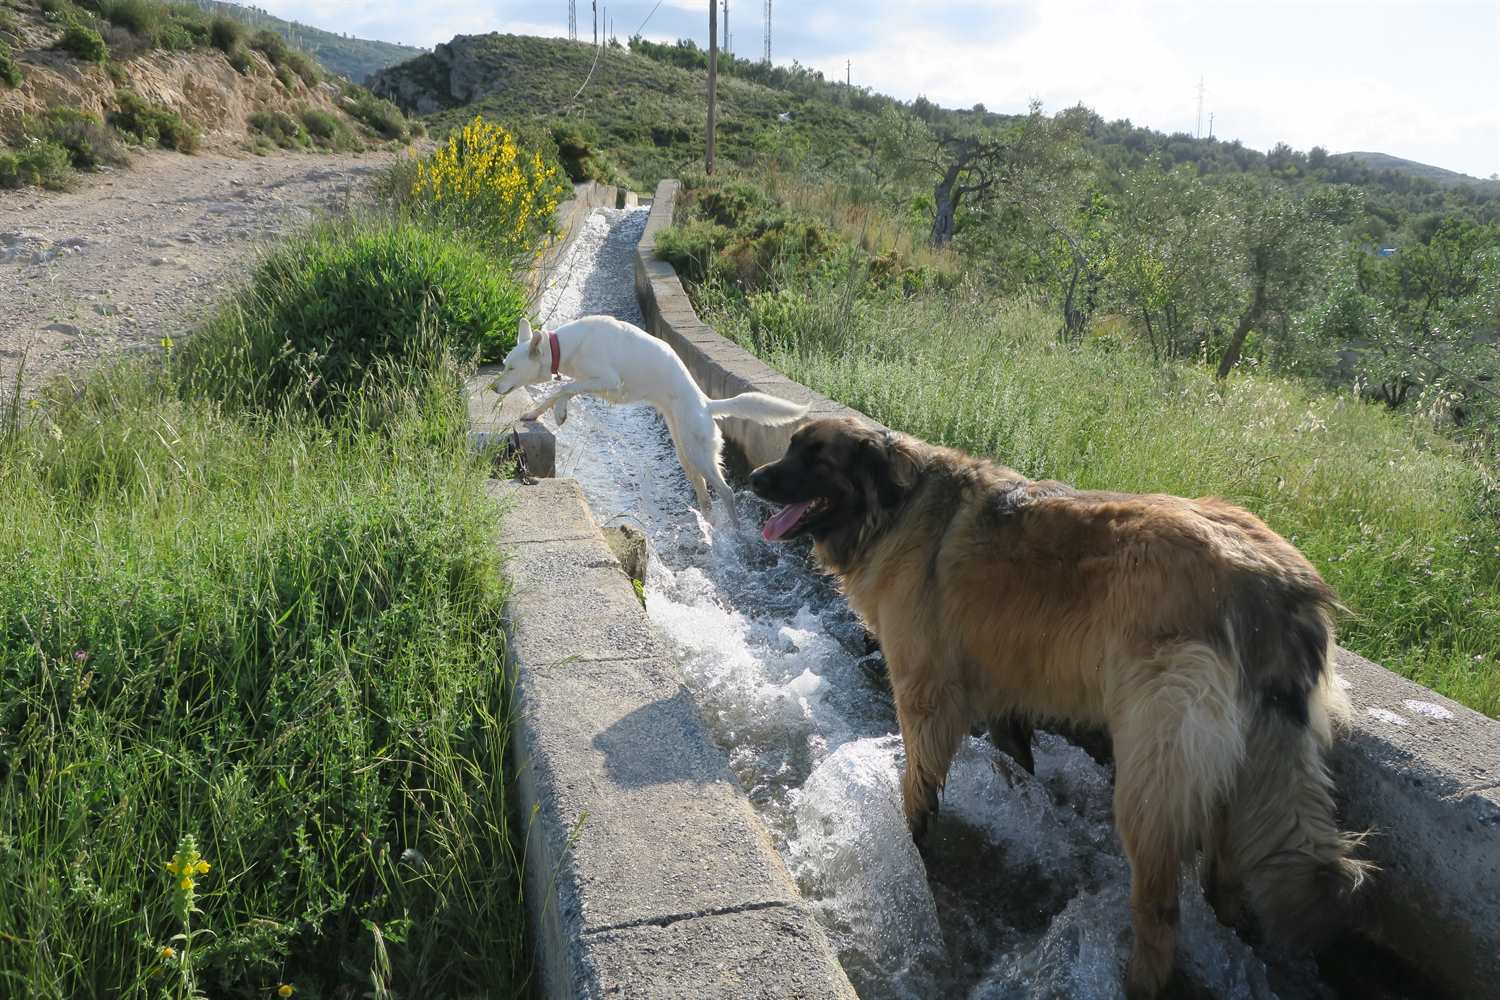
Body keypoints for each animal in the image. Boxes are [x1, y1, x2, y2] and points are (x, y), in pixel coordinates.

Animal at [492, 316, 810, 521]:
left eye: (510, 368)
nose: (493, 387)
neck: (567, 345)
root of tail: (707, 404)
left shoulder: (607, 379)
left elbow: (563, 388)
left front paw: (560, 412)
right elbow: (556, 392)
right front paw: (534, 413)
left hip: (699, 453)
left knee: (727, 492)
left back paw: (733, 534)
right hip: (686, 453)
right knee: (705, 494)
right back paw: (710, 527)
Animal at [750, 419, 1374, 995]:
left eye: (817, 456)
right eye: (789, 445)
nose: (755, 477)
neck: (896, 508)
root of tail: (1271, 583)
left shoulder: (925, 696)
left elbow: (918, 788)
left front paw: (910, 843)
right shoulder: (1002, 698)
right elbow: (1017, 763)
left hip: (1152, 773)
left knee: (1160, 911)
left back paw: (1136, 981)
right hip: (1238, 774)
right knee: (1224, 878)